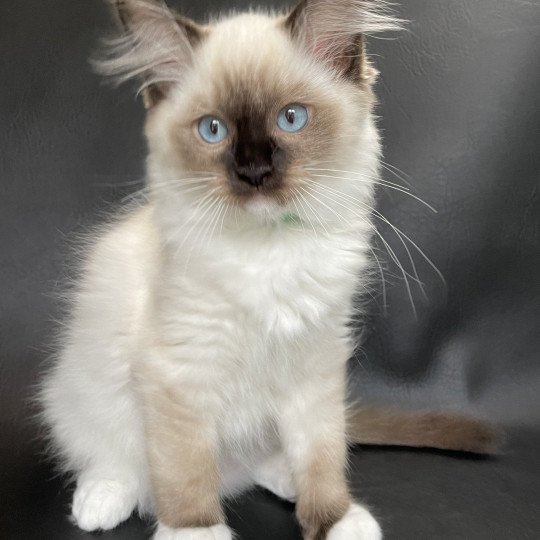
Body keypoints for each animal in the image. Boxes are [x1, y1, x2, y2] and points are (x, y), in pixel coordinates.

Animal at [40, 1, 500, 540]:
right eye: (213, 130)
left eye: (291, 119)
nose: (254, 172)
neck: (271, 253)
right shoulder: (180, 375)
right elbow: (185, 474)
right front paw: (195, 531)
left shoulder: (315, 367)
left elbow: (322, 455)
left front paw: (335, 519)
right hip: (82, 396)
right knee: (117, 459)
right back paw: (101, 501)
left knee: (259, 466)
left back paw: (288, 482)